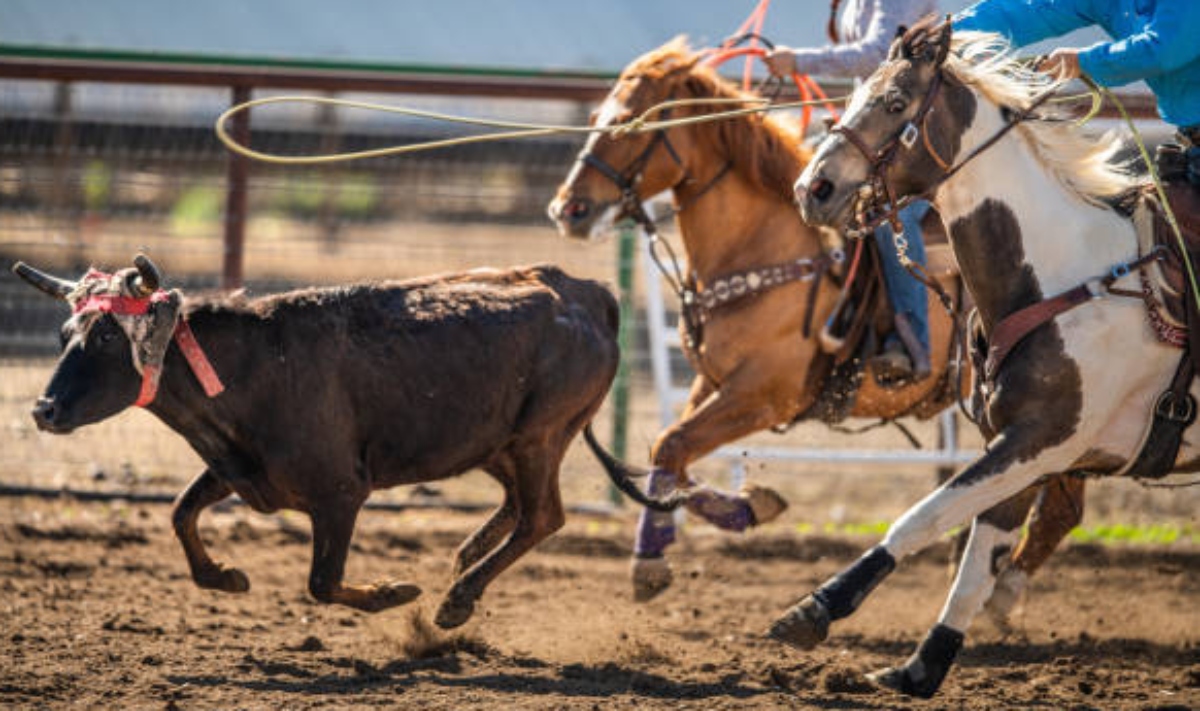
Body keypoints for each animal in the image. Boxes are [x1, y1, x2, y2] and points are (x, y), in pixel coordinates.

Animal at [772, 20, 1195, 696]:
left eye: (896, 101)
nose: (813, 189)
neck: (1068, 274)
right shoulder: (1021, 444)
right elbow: (977, 556)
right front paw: (922, 668)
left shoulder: (1043, 438)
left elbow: (923, 519)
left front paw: (816, 607)